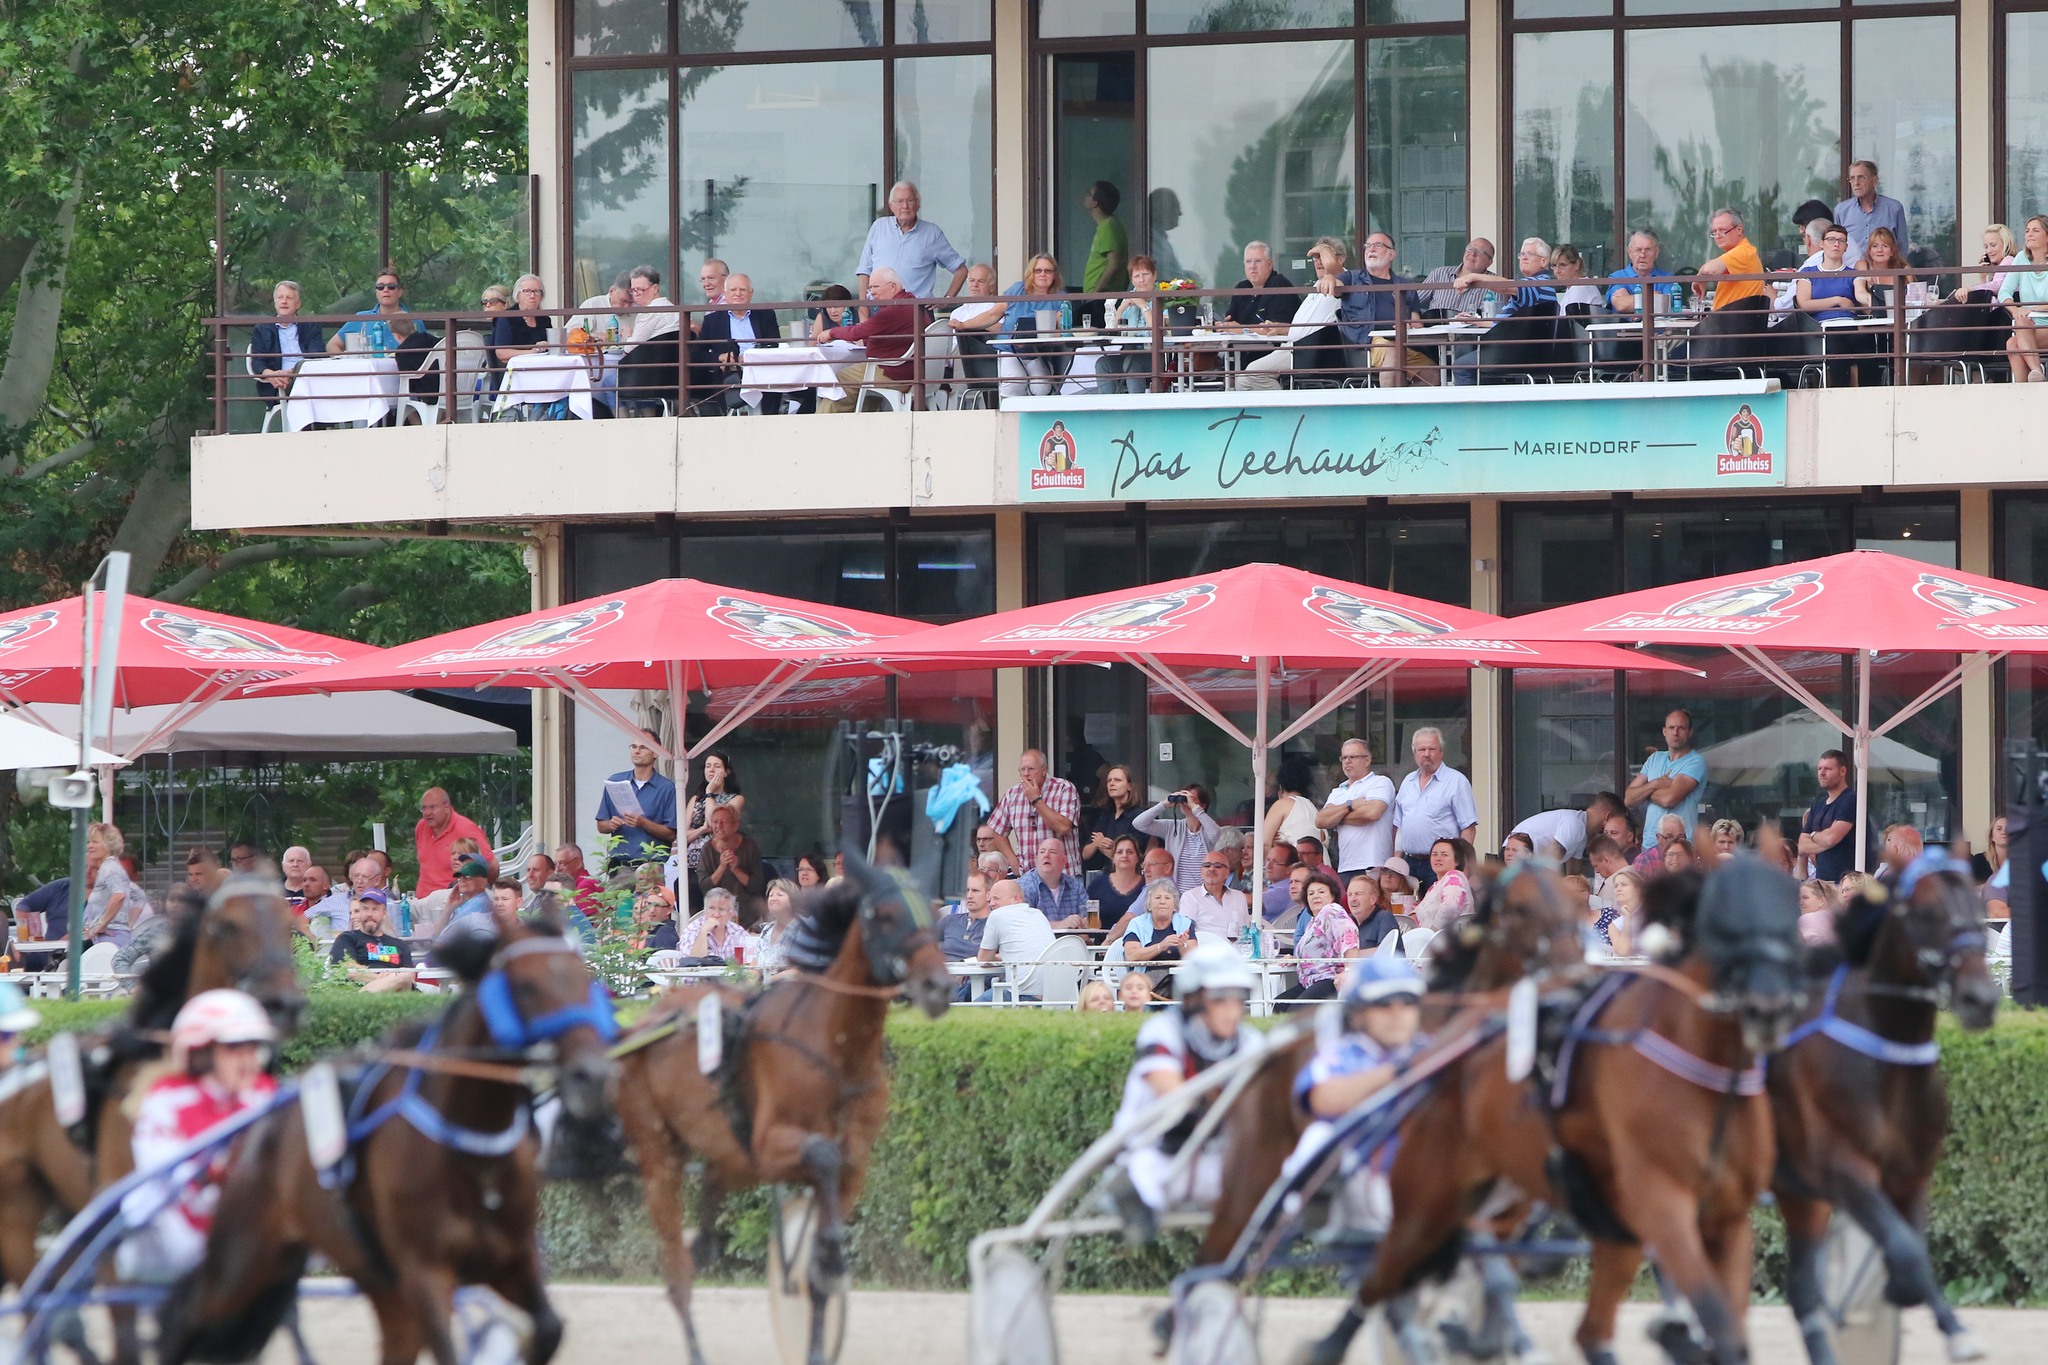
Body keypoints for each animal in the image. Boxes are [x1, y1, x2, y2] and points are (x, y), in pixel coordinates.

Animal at [158, 912, 616, 1365]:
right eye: (525, 985)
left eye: (584, 980)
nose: (591, 1075)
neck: (468, 1144)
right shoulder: (424, 1273)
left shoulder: (513, 1261)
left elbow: (549, 1330)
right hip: (242, 1258)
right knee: (186, 1317)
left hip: (378, 1285)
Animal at [611, 857, 950, 1365]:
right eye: (884, 915)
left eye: (931, 912)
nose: (938, 986)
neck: (835, 1047)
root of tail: (643, 1026)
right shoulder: (769, 1146)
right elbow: (821, 1159)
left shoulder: (854, 1164)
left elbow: (819, 1260)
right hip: (658, 1156)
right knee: (678, 1277)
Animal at [1772, 868, 2000, 1365]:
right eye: (1928, 912)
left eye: (1979, 912)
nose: (1981, 999)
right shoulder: (1846, 1169)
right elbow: (1906, 1252)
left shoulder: (1911, 1173)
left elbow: (1911, 1252)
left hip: (1796, 1191)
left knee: (1802, 1291)